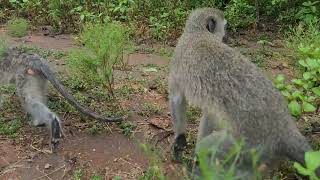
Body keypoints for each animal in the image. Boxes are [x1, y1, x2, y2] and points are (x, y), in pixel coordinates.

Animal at [169, 8, 318, 177]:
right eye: (225, 27)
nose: (227, 36)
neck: (197, 32)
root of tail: (284, 128)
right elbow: (203, 111)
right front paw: (180, 140)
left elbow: (177, 99)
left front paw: (180, 139)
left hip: (249, 146)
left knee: (208, 149)